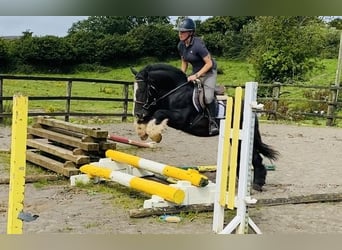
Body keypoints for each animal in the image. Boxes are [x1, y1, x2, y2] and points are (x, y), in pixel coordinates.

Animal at [131, 63, 278, 190]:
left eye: (144, 90)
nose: (138, 113)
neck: (175, 91)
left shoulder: (181, 118)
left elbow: (159, 113)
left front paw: (155, 135)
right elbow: (152, 114)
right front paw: (142, 131)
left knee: (255, 156)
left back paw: (258, 183)